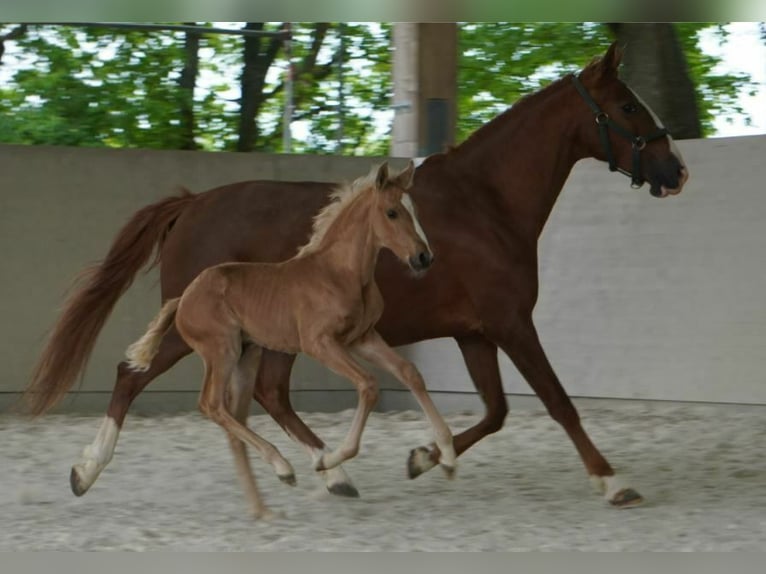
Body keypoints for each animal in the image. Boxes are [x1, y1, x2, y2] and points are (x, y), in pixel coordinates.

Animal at [125, 163, 456, 520]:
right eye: (392, 212)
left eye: (415, 211)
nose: (423, 257)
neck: (340, 273)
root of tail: (183, 297)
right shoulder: (320, 343)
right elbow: (368, 385)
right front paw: (327, 460)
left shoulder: (362, 338)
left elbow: (410, 372)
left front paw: (447, 456)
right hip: (221, 350)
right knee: (211, 404)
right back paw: (283, 468)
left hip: (245, 355)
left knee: (234, 415)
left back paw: (262, 509)